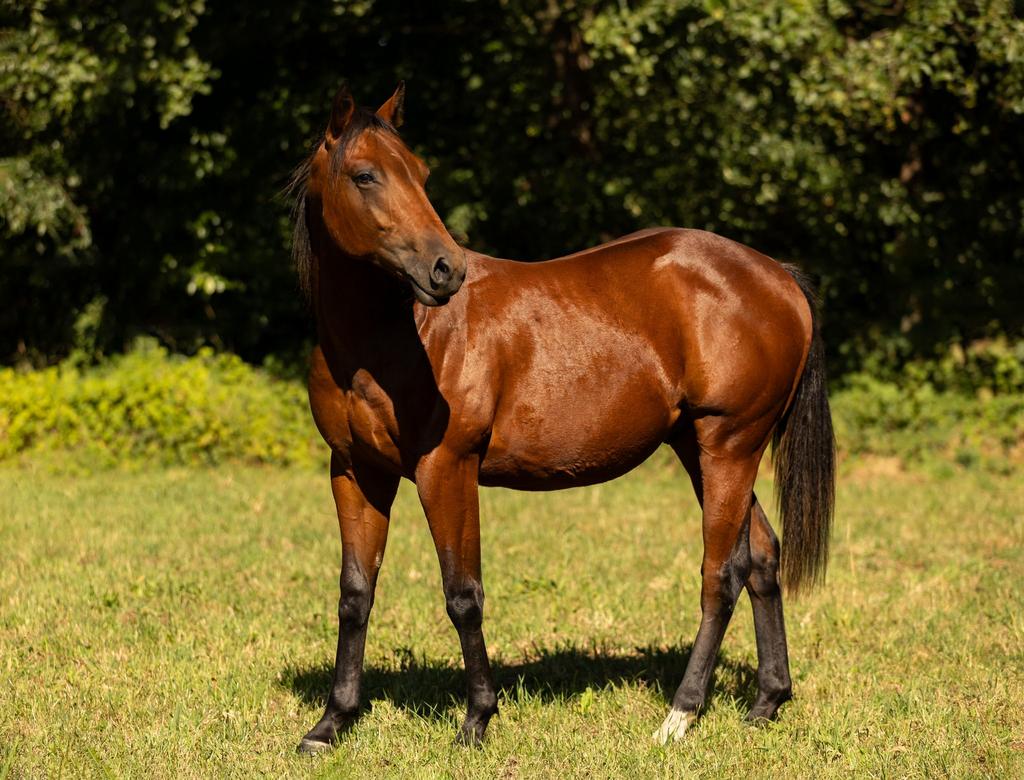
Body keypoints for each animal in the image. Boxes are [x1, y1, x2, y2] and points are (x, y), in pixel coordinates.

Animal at [288, 82, 835, 753]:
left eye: (420, 173)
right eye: (365, 175)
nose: (446, 269)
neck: (389, 339)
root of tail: (779, 277)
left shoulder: (448, 468)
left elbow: (462, 594)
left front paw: (476, 719)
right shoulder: (356, 471)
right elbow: (355, 594)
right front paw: (331, 723)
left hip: (729, 446)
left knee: (720, 575)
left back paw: (679, 715)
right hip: (702, 449)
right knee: (760, 557)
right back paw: (765, 702)